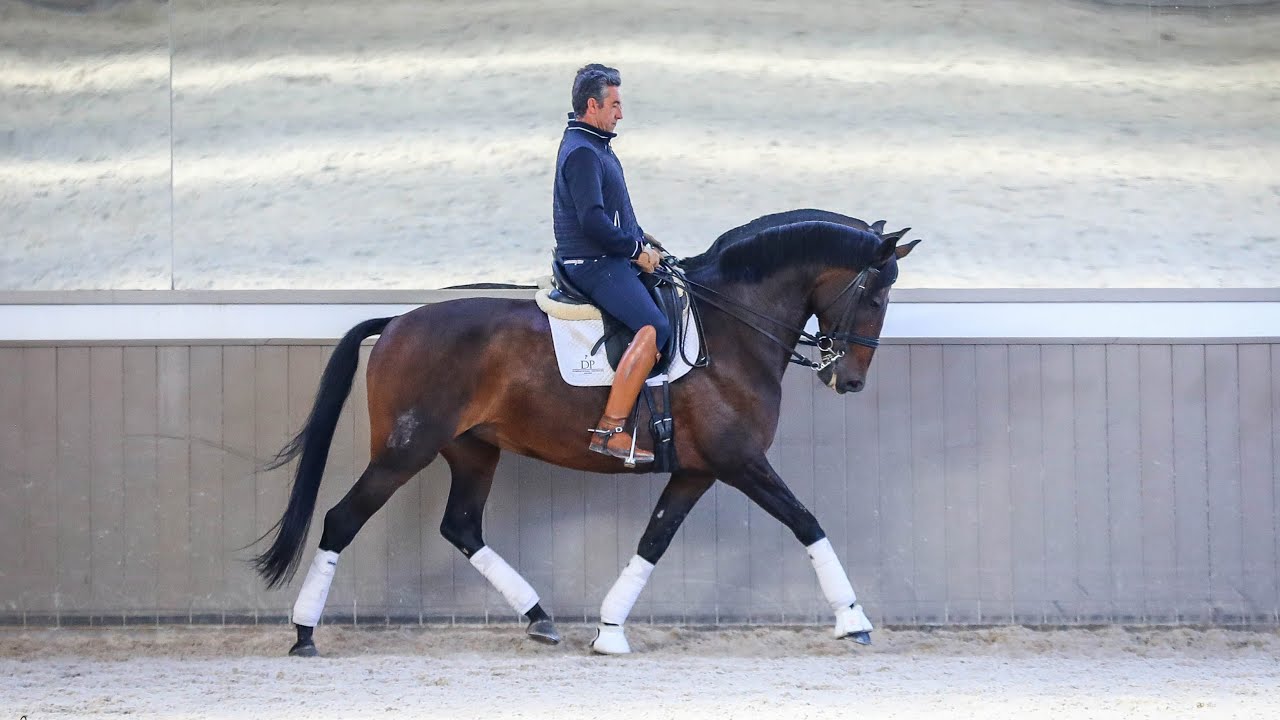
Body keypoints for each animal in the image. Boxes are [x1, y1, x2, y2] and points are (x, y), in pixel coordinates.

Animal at [253, 212, 920, 656]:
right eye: (876, 294)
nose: (848, 379)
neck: (731, 327)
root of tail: (396, 323)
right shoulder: (741, 461)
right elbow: (807, 522)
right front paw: (854, 619)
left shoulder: (697, 471)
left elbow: (653, 541)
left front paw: (609, 630)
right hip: (403, 451)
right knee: (342, 520)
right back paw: (304, 632)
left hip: (474, 450)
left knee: (461, 527)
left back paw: (540, 618)